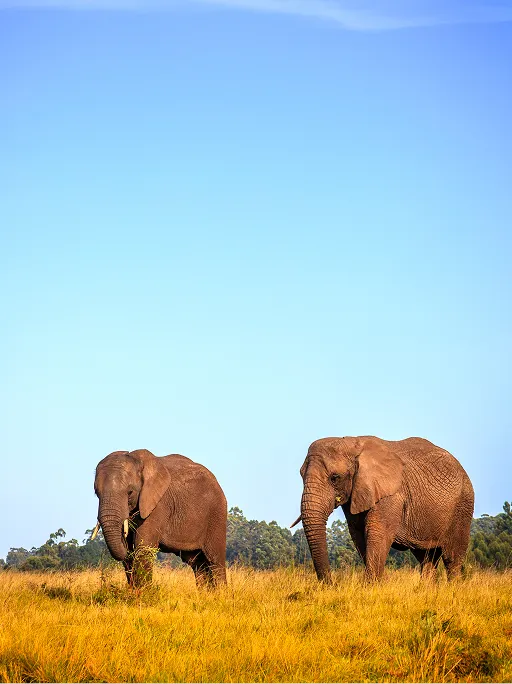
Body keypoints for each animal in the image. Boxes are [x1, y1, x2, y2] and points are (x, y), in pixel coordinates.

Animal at [92, 449, 227, 588]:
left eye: (130, 492)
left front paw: (143, 592)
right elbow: (129, 548)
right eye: (96, 493)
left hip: (217, 514)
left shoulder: (158, 504)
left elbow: (143, 547)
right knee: (197, 563)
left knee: (215, 560)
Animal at [293, 436, 474, 582]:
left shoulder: (391, 495)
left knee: (452, 558)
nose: (331, 584)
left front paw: (370, 587)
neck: (353, 443)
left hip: (463, 506)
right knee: (426, 559)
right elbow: (359, 536)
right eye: (301, 475)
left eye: (335, 478)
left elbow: (377, 533)